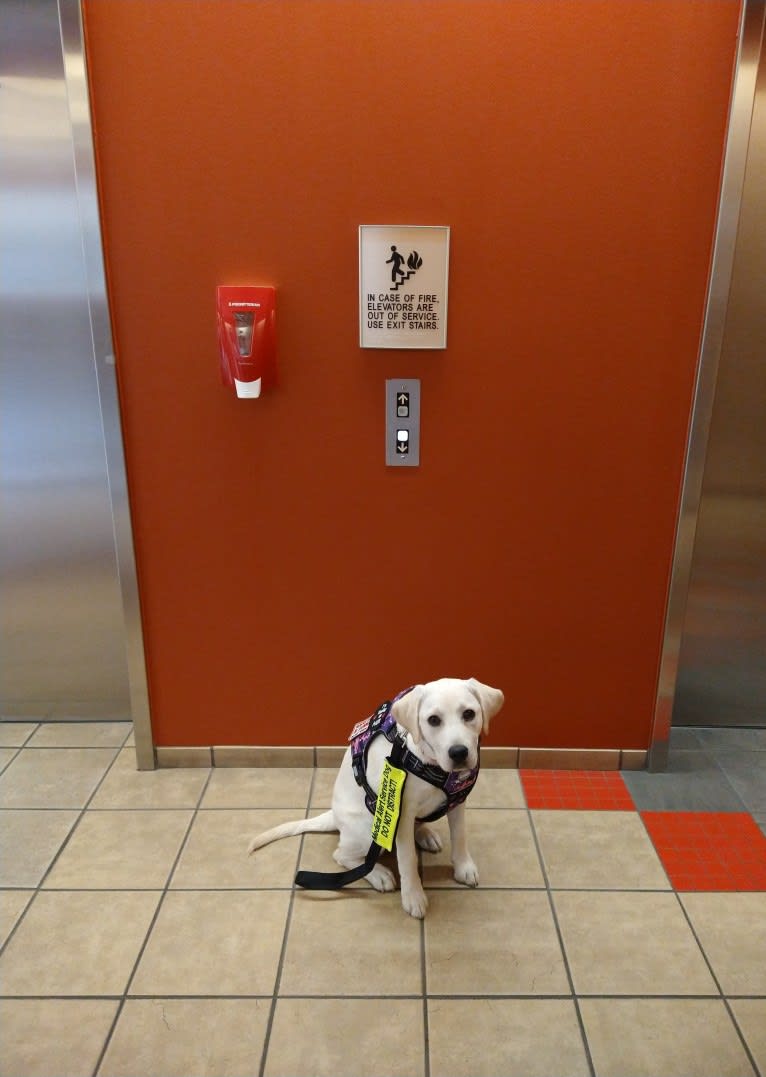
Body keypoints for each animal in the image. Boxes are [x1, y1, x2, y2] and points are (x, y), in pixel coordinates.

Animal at [248, 672, 506, 917]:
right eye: (433, 720)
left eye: (469, 714)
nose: (459, 752)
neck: (428, 763)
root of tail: (335, 816)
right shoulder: (399, 816)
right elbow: (407, 859)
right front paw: (413, 897)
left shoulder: (458, 801)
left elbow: (460, 836)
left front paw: (464, 868)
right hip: (368, 831)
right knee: (342, 855)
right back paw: (379, 874)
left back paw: (424, 834)